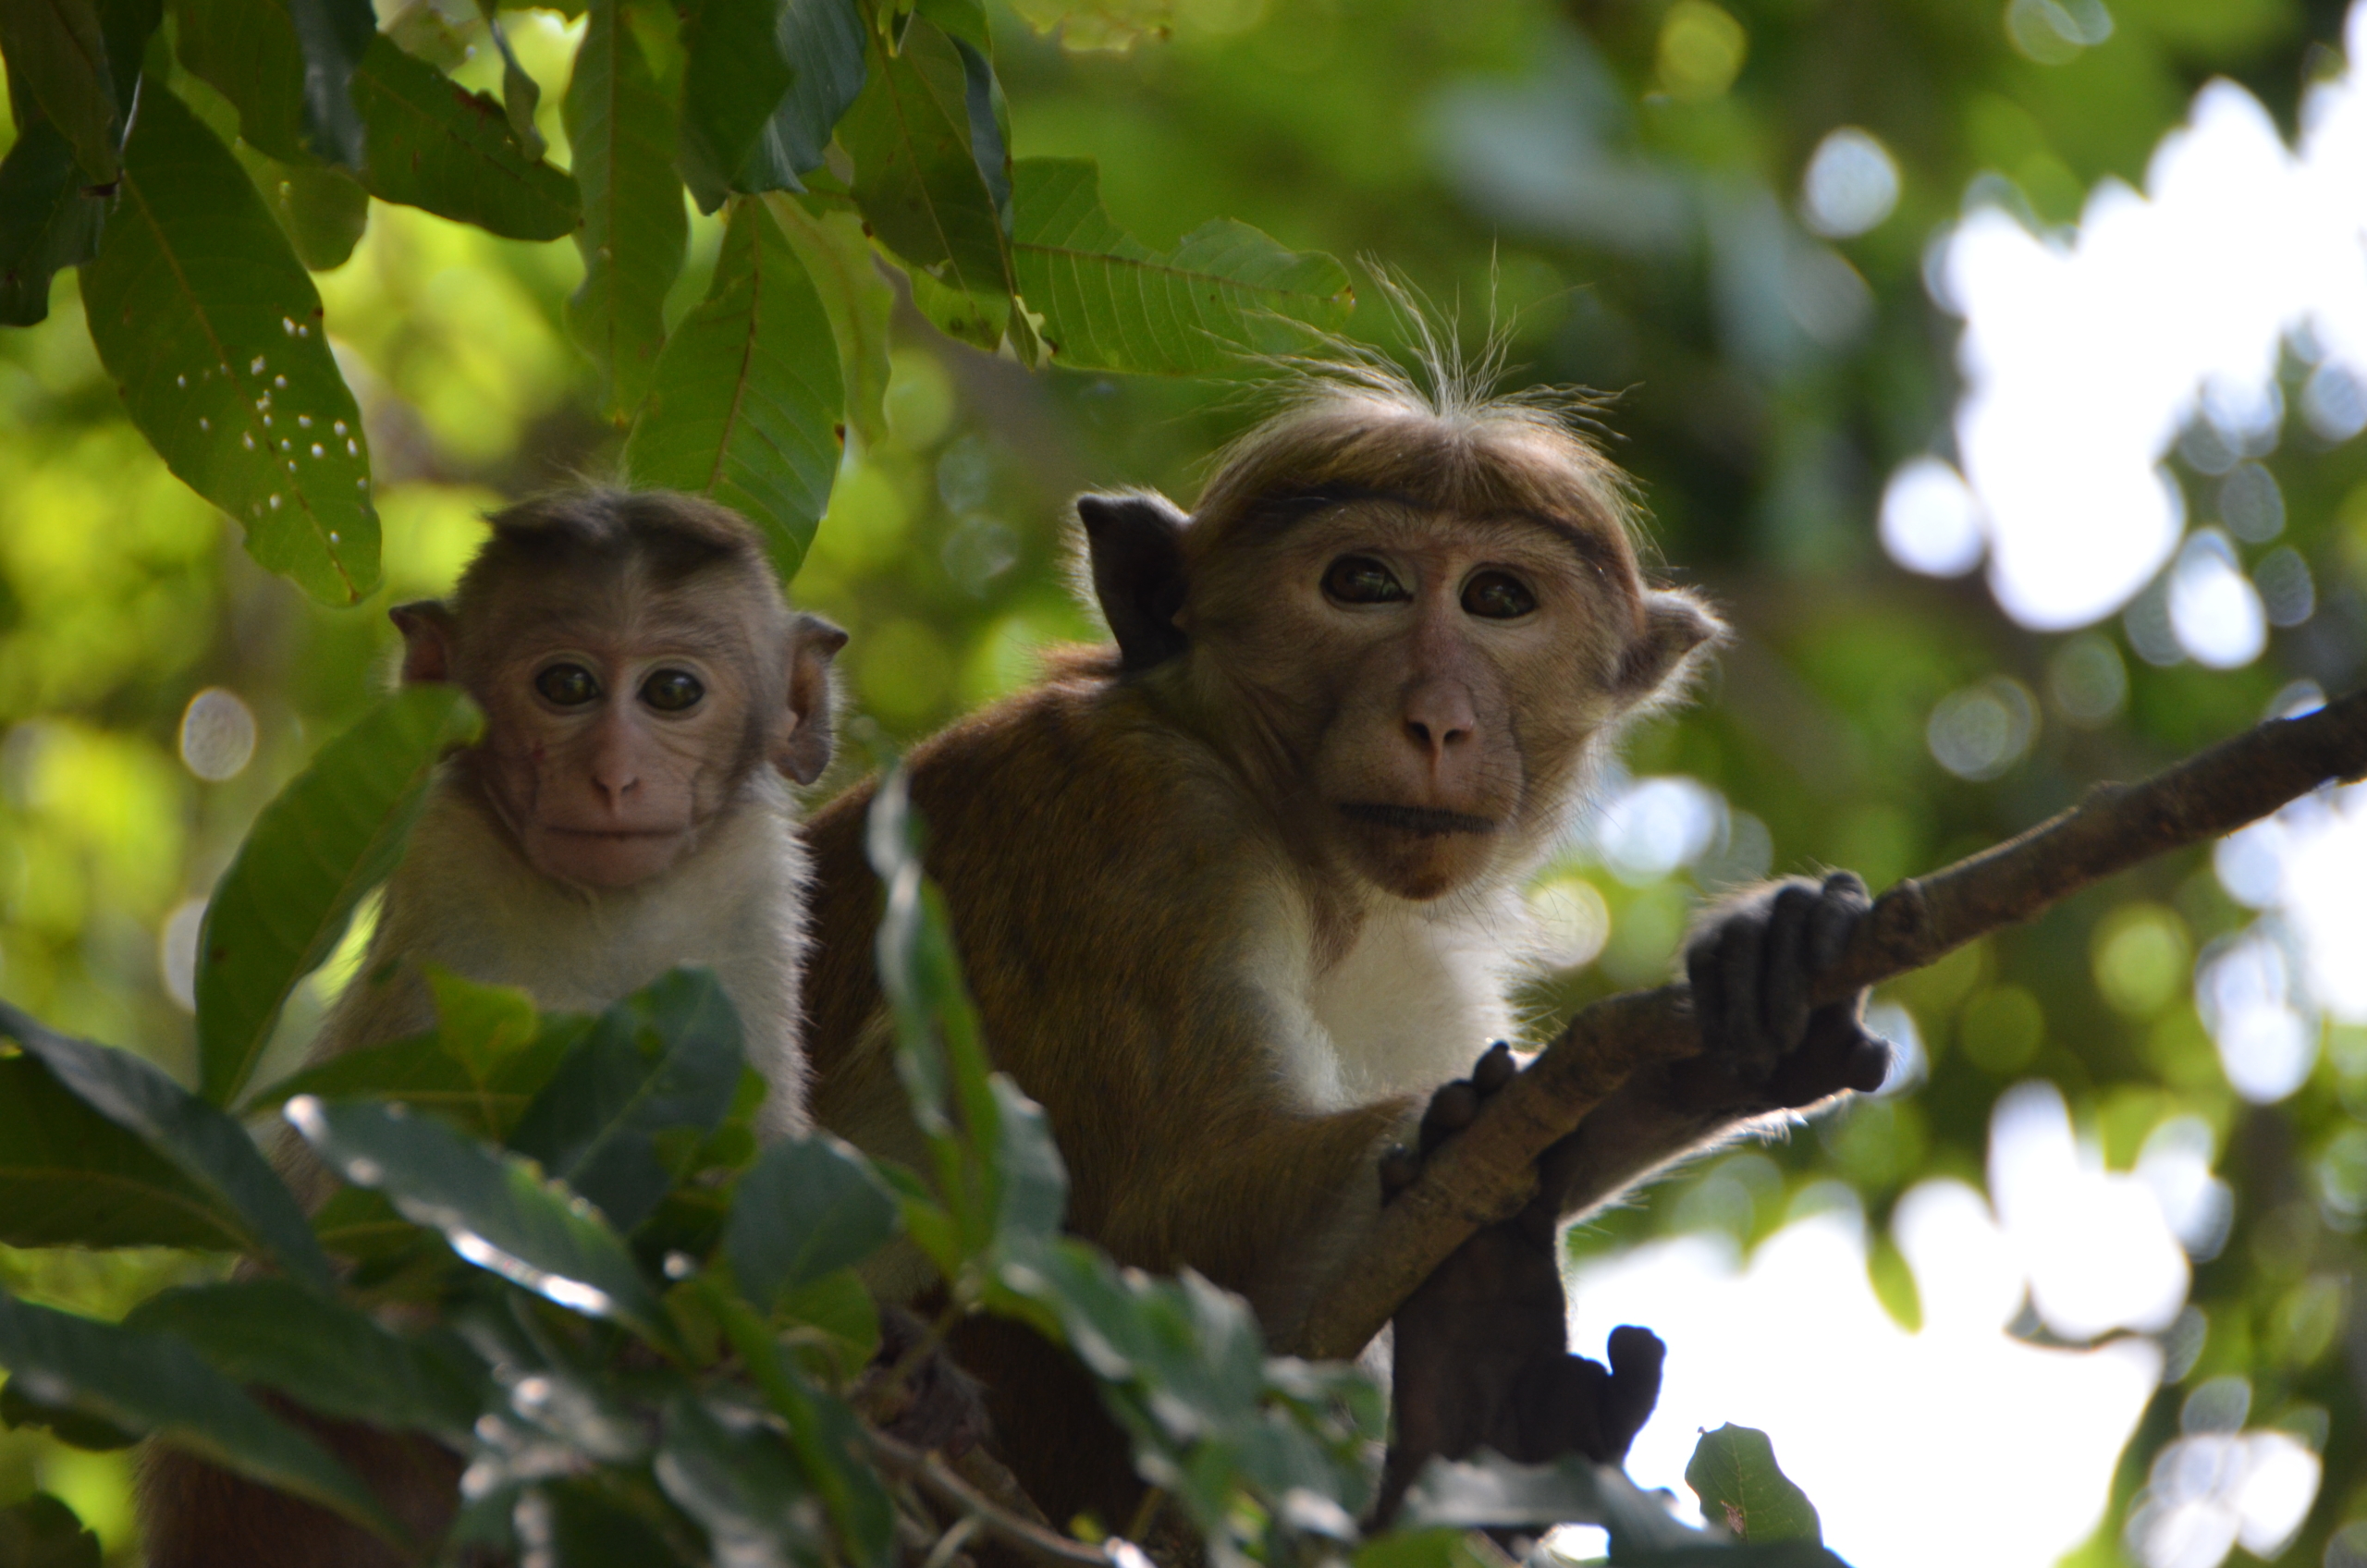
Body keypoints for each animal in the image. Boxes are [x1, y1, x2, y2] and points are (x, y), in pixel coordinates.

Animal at [138, 492, 852, 1568]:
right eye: (567, 686)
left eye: (672, 692)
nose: (612, 776)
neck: (605, 914)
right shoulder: (453, 908)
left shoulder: (751, 903)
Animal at [804, 361, 1894, 1525]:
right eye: (1362, 583)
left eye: (1498, 599)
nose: (1438, 721)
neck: (1306, 857)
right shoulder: (1126, 829)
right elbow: (1155, 1247)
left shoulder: (1416, 955)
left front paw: (1742, 1009)